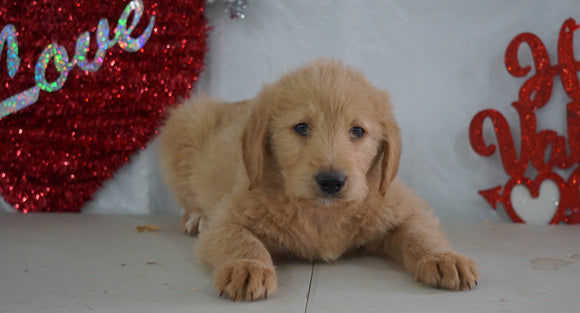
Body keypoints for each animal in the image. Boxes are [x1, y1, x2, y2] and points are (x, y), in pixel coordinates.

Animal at [157, 58, 476, 300]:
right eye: (301, 127)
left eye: (358, 131)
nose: (331, 182)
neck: (321, 214)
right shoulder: (228, 216)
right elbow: (239, 239)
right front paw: (247, 267)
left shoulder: (404, 206)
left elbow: (421, 233)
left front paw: (444, 257)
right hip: (186, 123)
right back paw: (196, 216)